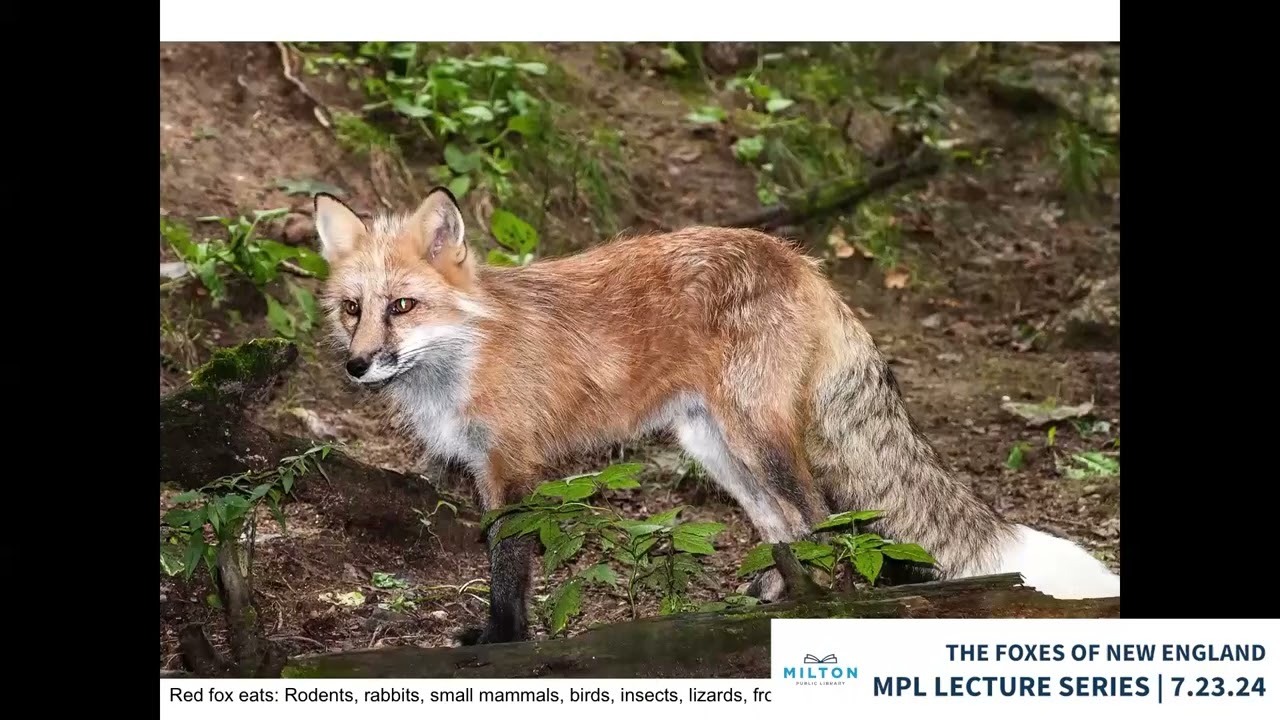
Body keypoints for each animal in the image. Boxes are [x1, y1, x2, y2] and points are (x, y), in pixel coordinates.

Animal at [311, 187, 1120, 645]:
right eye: (353, 309)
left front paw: (504, 642)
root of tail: (797, 256)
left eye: (403, 306)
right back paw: (774, 605)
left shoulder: (514, 467)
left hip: (757, 439)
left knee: (826, 521)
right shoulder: (486, 469)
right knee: (787, 529)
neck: (468, 351)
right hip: (716, 449)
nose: (358, 366)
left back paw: (832, 609)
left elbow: (508, 571)